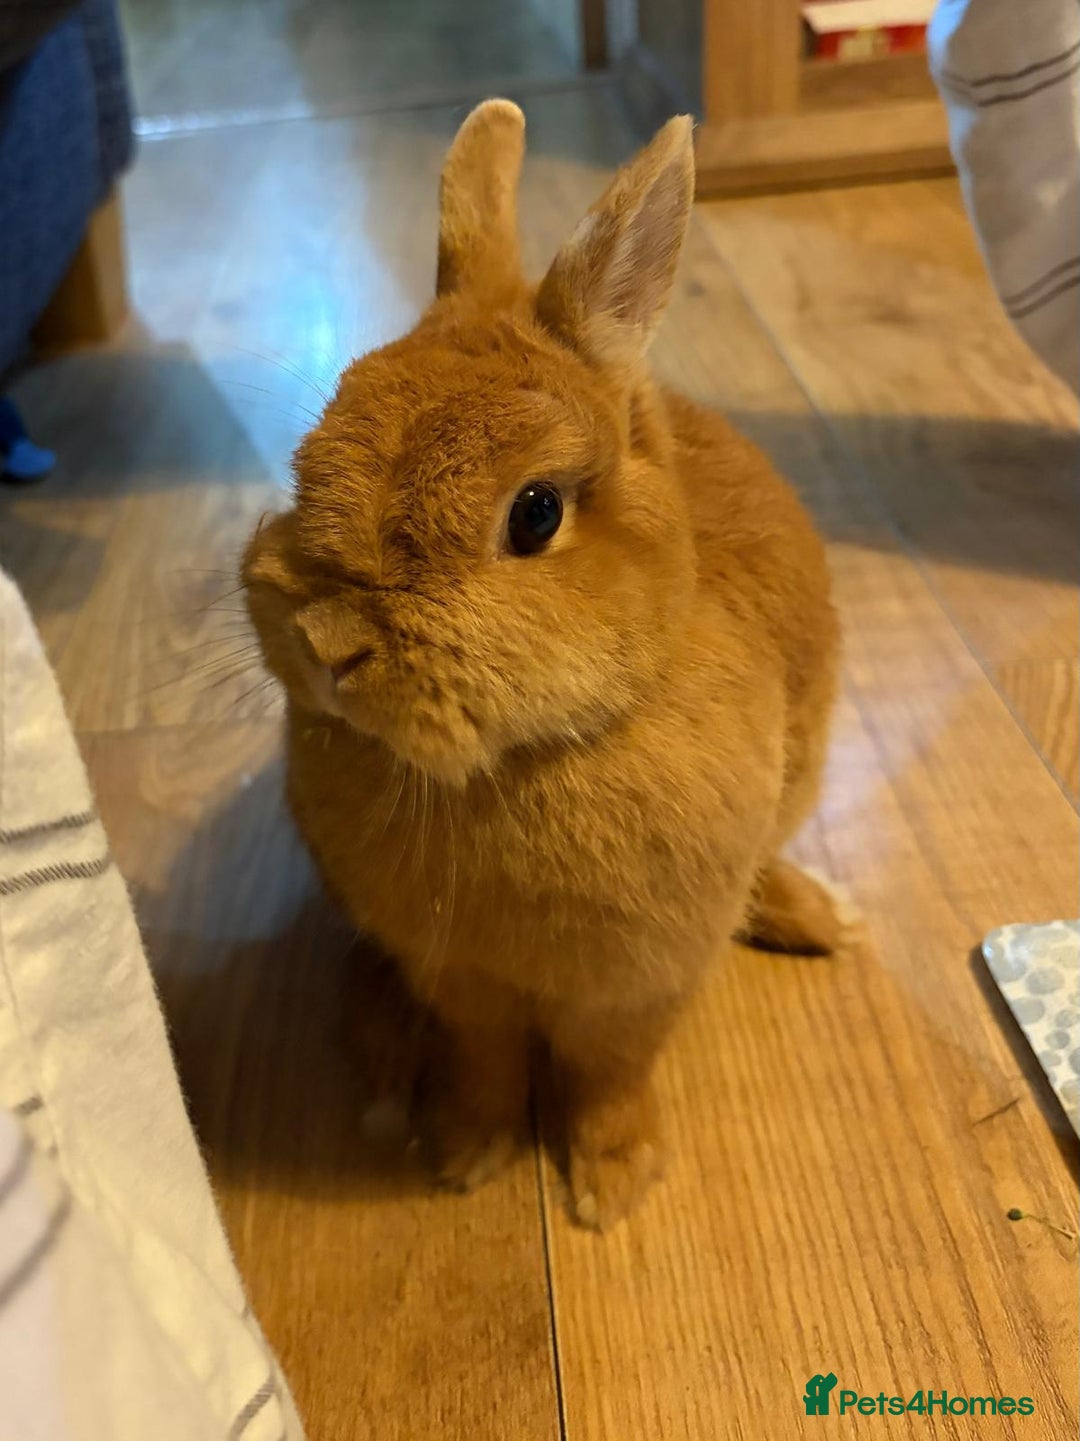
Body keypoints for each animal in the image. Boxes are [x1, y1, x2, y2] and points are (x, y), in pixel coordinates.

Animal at [242, 100, 843, 1230]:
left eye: (534, 513)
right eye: (315, 447)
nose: (329, 644)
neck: (520, 762)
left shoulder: (639, 987)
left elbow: (609, 1073)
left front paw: (612, 1185)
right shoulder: (460, 981)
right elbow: (484, 1061)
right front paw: (466, 1153)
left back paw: (815, 917)